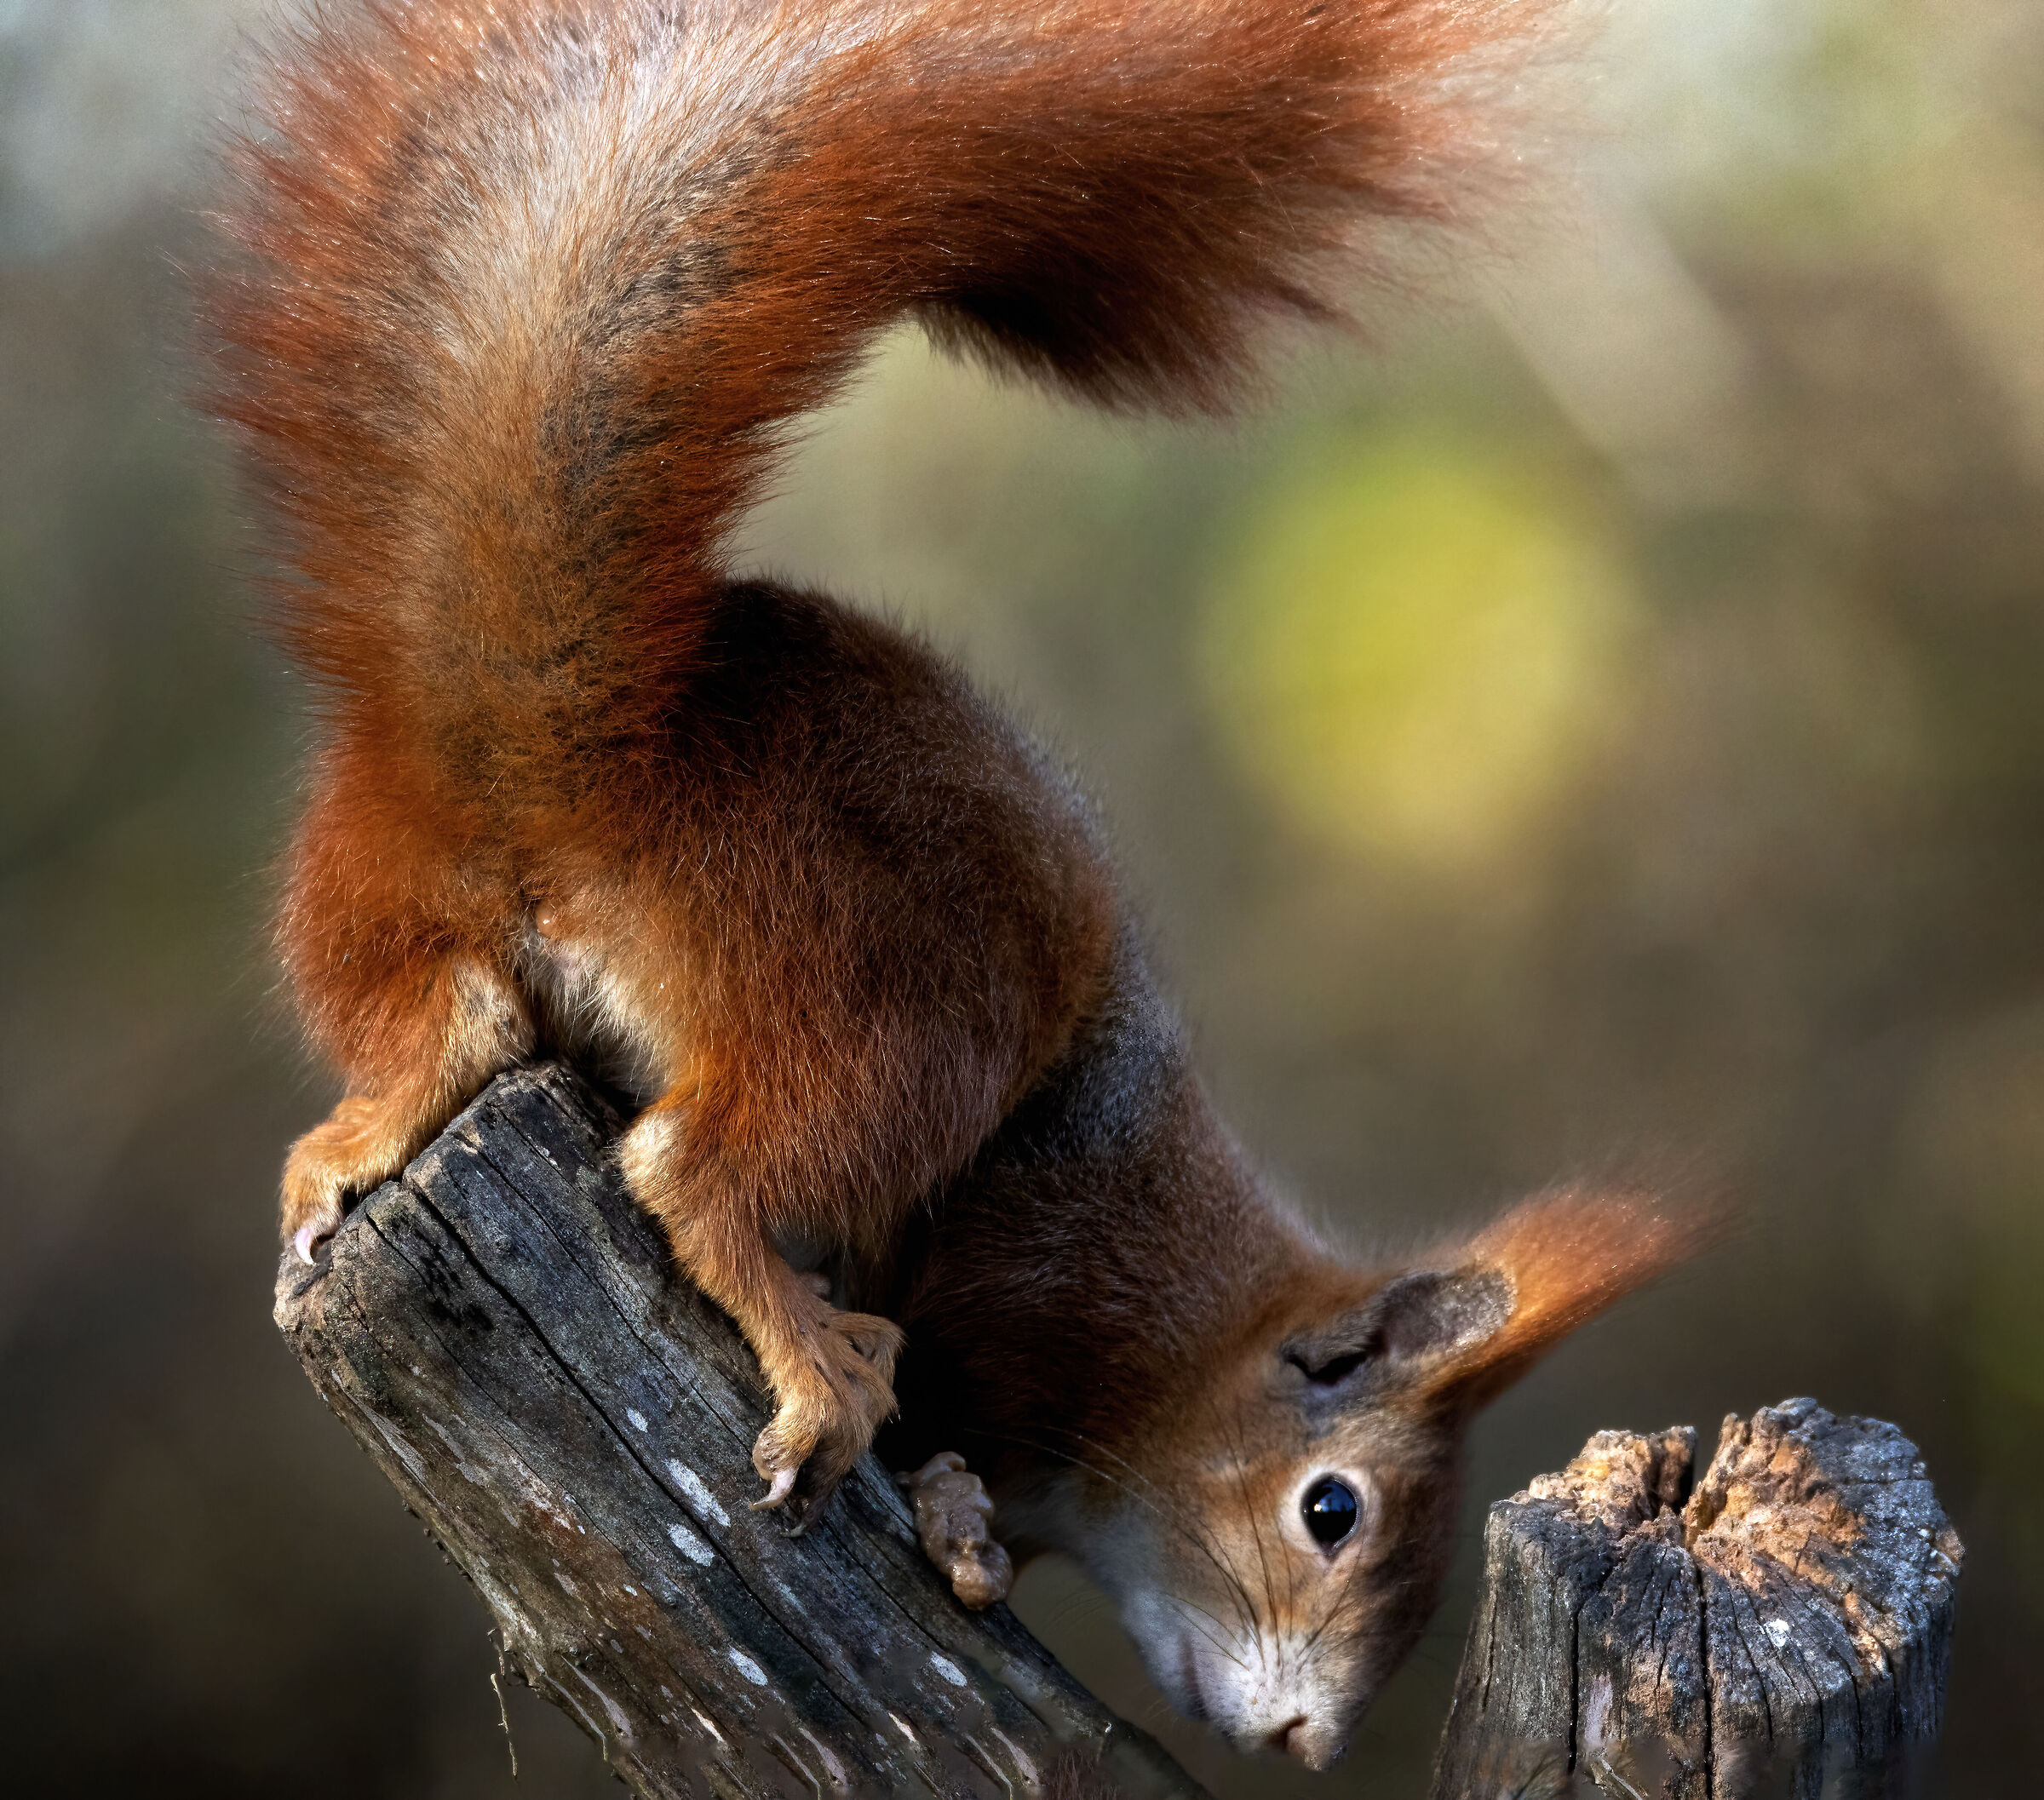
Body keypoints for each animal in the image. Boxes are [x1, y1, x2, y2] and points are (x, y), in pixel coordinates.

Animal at [211, 0, 1710, 1770]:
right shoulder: (1029, 1293)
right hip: (896, 1004)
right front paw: (951, 1513)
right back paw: (815, 1355)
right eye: (1331, 1508)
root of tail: (555, 761)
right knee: (688, 1165)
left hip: (393, 920)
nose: (1305, 1744)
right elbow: (949, 1429)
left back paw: (357, 1139)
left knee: (447, 1036)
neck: (1176, 1332)